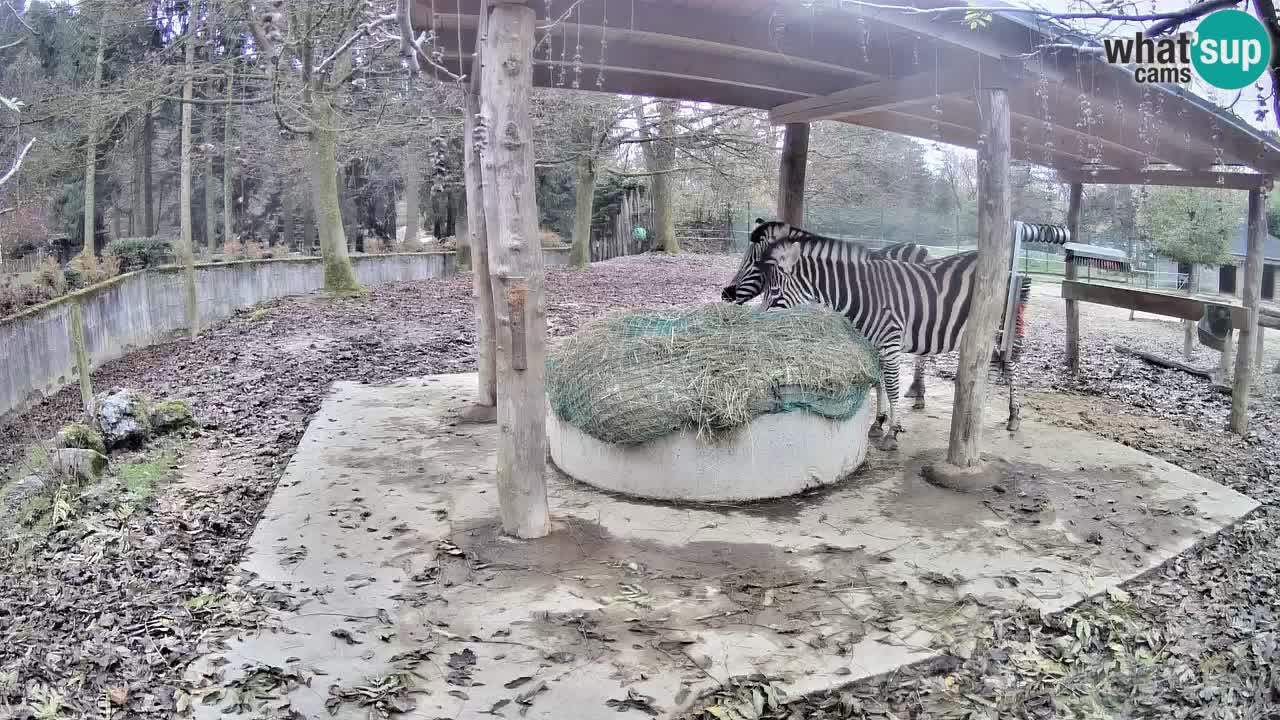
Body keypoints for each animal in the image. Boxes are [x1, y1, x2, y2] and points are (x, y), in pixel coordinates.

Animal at [721, 221, 1029, 450]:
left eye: (753, 263)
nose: (726, 294)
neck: (861, 293)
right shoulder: (872, 343)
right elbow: (878, 382)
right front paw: (879, 422)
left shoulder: (890, 342)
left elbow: (890, 385)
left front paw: (892, 431)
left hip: (1002, 329)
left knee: (1013, 364)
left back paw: (1014, 415)